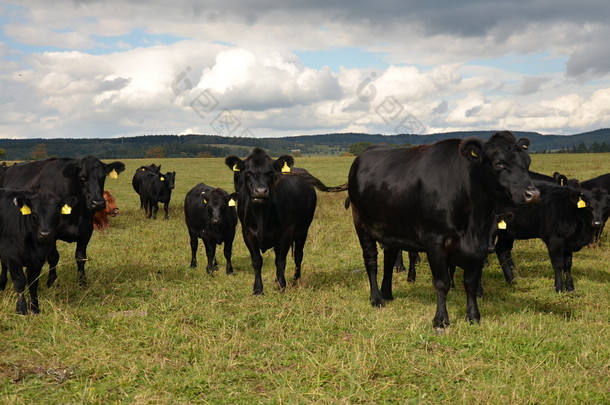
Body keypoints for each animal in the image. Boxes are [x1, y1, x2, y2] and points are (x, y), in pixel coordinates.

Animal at [1, 156, 126, 286]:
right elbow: (53, 257)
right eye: (82, 177)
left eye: (103, 176)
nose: (97, 203)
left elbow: (81, 257)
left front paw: (82, 283)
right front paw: (50, 283)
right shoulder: (50, 233)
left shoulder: (86, 231)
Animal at [224, 148, 318, 294]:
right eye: (248, 172)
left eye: (270, 172)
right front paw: (258, 289)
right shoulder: (247, 233)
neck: (261, 215)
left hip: (303, 230)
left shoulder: (286, 232)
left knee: (298, 255)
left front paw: (282, 286)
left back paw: (295, 281)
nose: (260, 191)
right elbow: (257, 261)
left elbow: (280, 260)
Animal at [346, 131, 536, 330]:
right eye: (499, 163)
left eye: (527, 162)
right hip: (362, 227)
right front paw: (441, 320)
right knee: (371, 262)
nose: (533, 194)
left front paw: (473, 316)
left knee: (389, 260)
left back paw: (387, 293)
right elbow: (441, 282)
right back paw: (376, 298)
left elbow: (471, 282)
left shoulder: (480, 245)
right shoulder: (435, 242)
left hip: (390, 231)